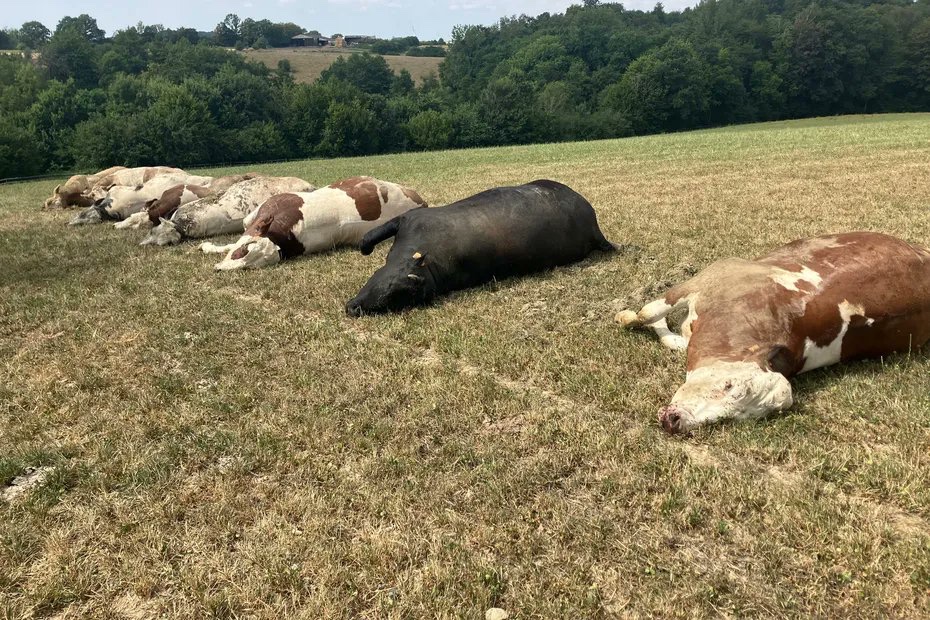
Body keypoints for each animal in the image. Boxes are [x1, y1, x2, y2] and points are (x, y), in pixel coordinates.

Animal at [345, 179, 615, 316]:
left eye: (398, 295)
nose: (353, 308)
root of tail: (593, 224)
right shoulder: (408, 219)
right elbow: (370, 234)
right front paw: (366, 249)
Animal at [615, 232, 930, 434]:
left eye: (736, 418)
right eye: (728, 385)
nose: (676, 422)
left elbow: (658, 324)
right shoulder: (712, 275)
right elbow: (650, 313)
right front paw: (626, 315)